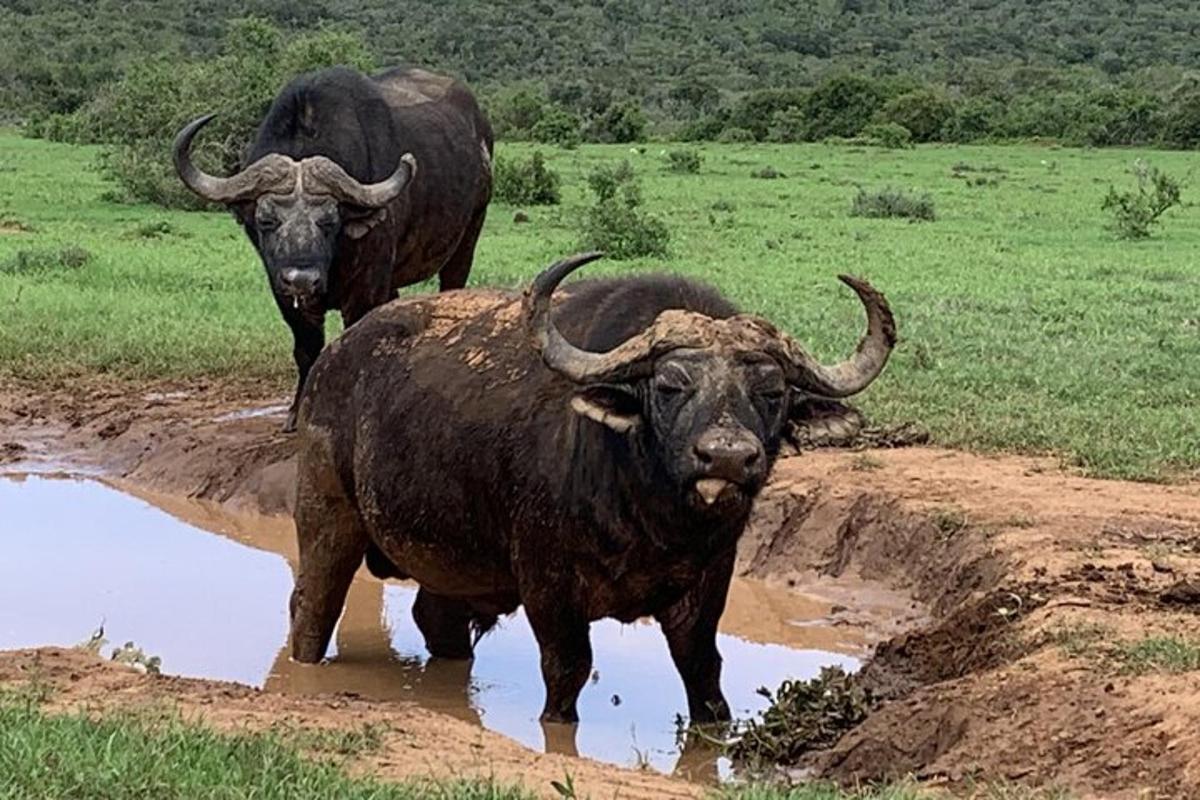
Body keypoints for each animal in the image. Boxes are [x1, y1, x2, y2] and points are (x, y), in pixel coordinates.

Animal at [174, 67, 492, 431]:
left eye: (329, 220)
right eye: (267, 220)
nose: (302, 279)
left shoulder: (366, 288)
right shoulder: (283, 293)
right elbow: (306, 349)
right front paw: (297, 410)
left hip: (469, 233)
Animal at [288, 253, 892, 724]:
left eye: (771, 392)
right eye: (670, 386)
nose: (726, 455)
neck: (644, 515)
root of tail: (333, 360)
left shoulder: (708, 580)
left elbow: (703, 670)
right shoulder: (547, 583)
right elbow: (568, 669)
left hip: (451, 564)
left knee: (437, 622)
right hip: (326, 520)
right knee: (312, 607)